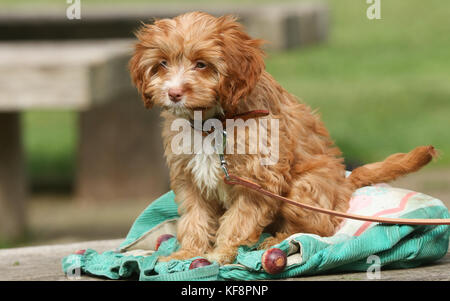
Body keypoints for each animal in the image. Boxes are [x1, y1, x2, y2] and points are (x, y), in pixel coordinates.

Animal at [129, 11, 436, 264]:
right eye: (162, 64)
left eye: (202, 64)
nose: (174, 93)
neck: (213, 122)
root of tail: (344, 184)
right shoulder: (189, 178)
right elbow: (195, 217)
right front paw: (187, 253)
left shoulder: (258, 179)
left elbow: (239, 220)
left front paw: (221, 253)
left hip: (304, 188)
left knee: (321, 228)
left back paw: (276, 241)